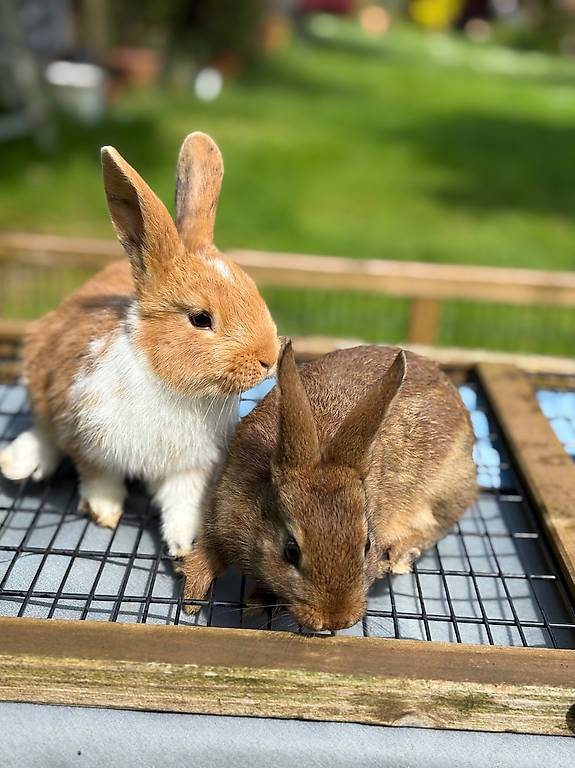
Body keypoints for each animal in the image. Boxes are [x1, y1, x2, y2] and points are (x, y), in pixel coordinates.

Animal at [0, 132, 279, 557]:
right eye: (201, 319)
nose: (269, 358)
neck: (172, 385)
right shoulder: (90, 445)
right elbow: (99, 481)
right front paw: (105, 514)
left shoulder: (188, 468)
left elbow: (182, 505)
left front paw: (184, 546)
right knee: (45, 432)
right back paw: (19, 463)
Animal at [182, 341, 476, 631]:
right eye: (290, 550)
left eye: (367, 545)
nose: (337, 620)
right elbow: (207, 551)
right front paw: (192, 597)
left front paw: (257, 600)